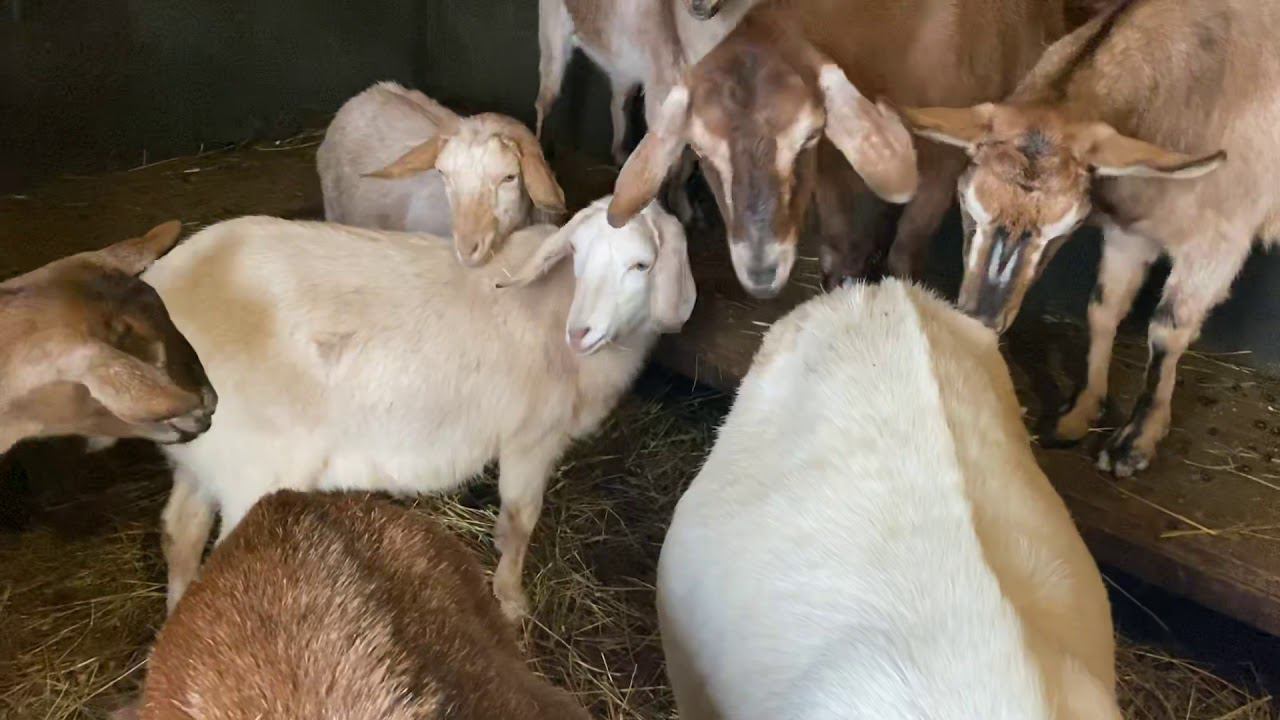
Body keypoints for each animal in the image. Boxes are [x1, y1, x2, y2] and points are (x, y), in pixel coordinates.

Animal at [141, 197, 696, 617]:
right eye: (576, 255)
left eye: (641, 265)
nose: (580, 333)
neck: (557, 307)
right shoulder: (531, 437)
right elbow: (521, 518)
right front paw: (511, 598)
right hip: (255, 467)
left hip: (207, 454)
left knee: (180, 530)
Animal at [906, 0, 1274, 476]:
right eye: (968, 205)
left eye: (1063, 228)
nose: (984, 317)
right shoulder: (1130, 231)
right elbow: (1102, 309)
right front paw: (1078, 412)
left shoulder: (1218, 240)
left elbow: (1167, 331)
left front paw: (1134, 442)